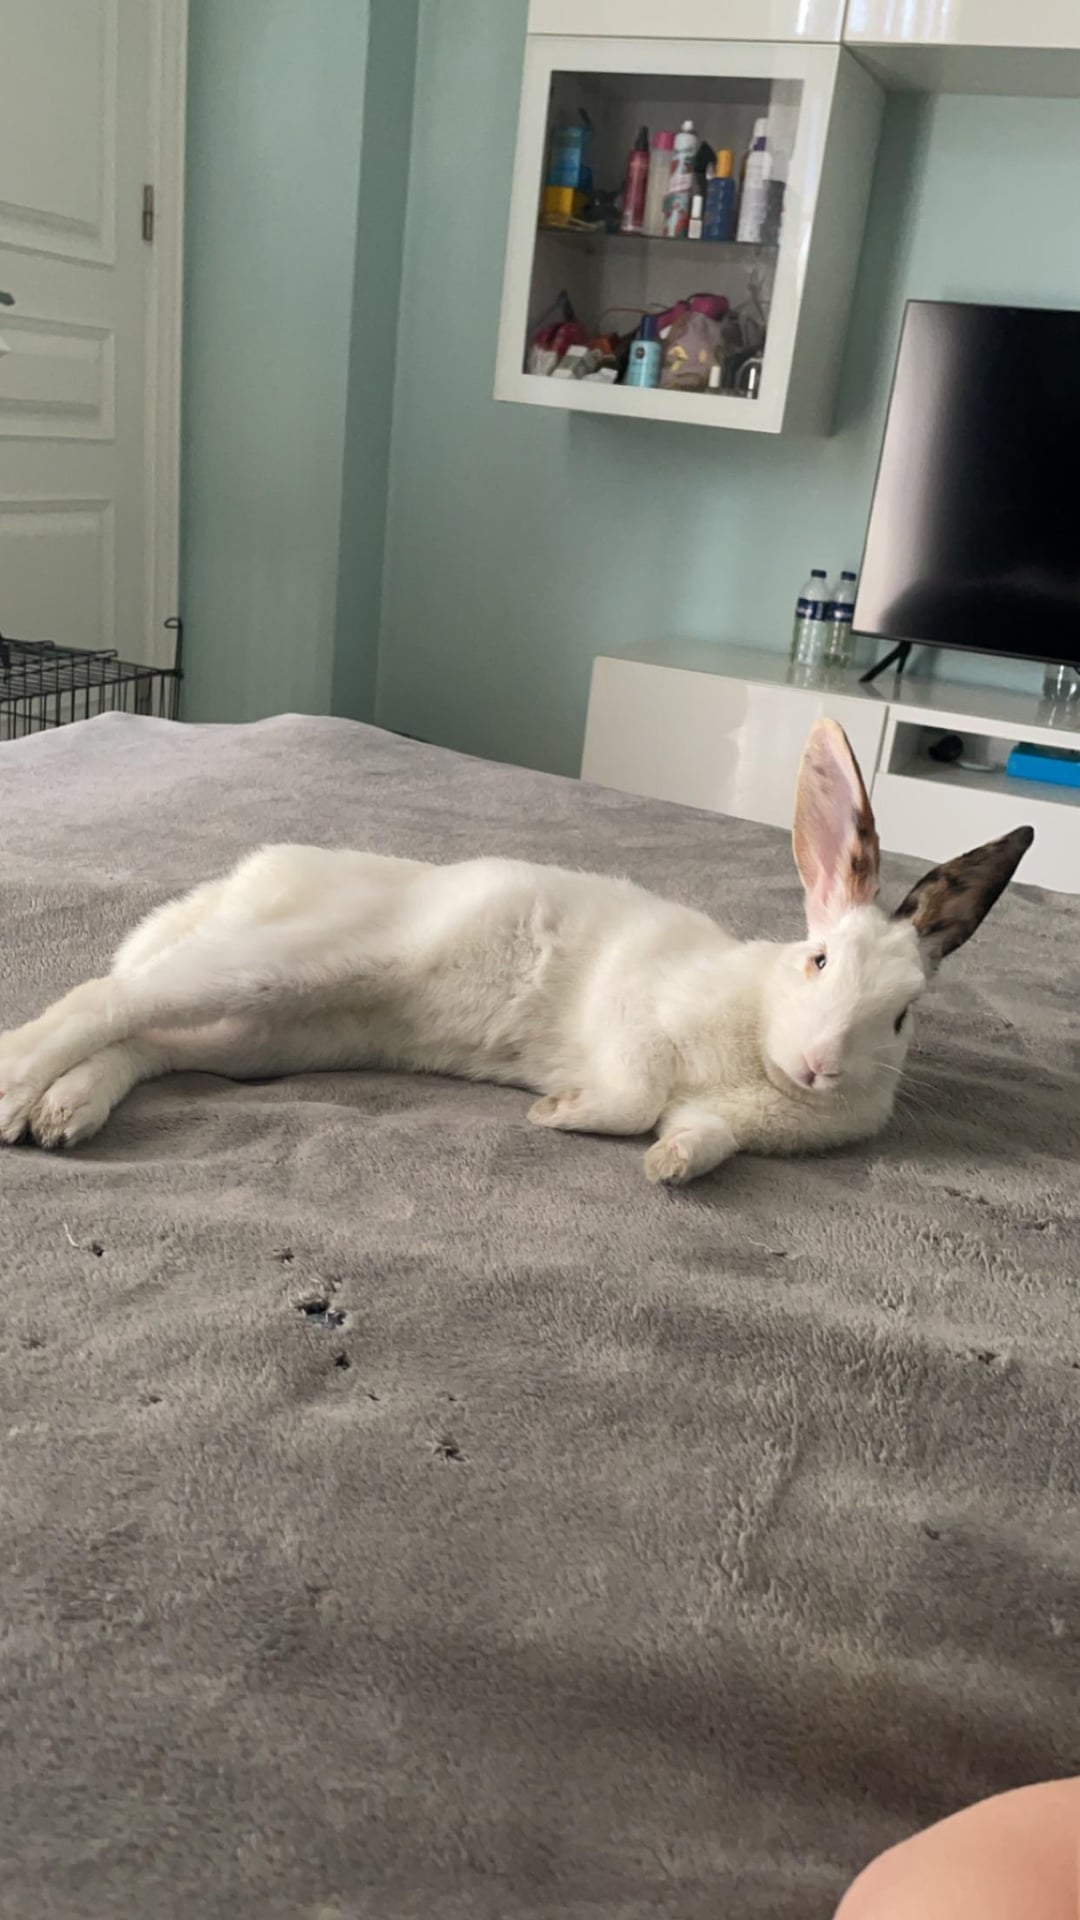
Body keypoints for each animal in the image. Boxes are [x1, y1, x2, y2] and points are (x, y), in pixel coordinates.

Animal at [0, 718, 1033, 1183]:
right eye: (817, 963)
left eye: (901, 1017)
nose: (822, 1067)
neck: (756, 1057)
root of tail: (243, 882)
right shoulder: (635, 1021)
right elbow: (631, 1098)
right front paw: (557, 1113)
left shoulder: (725, 1119)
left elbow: (699, 1137)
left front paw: (668, 1167)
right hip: (281, 961)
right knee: (104, 999)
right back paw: (17, 1091)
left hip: (263, 1034)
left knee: (146, 1040)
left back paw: (64, 1115)